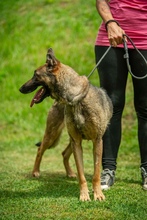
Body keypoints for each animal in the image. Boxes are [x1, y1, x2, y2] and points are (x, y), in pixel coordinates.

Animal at [19, 48, 112, 201]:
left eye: (35, 75)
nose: (20, 89)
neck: (77, 99)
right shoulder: (77, 142)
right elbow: (82, 174)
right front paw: (84, 195)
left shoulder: (97, 142)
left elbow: (96, 174)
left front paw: (98, 194)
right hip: (53, 134)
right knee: (40, 150)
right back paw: (36, 172)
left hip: (70, 140)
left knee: (63, 153)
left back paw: (69, 173)